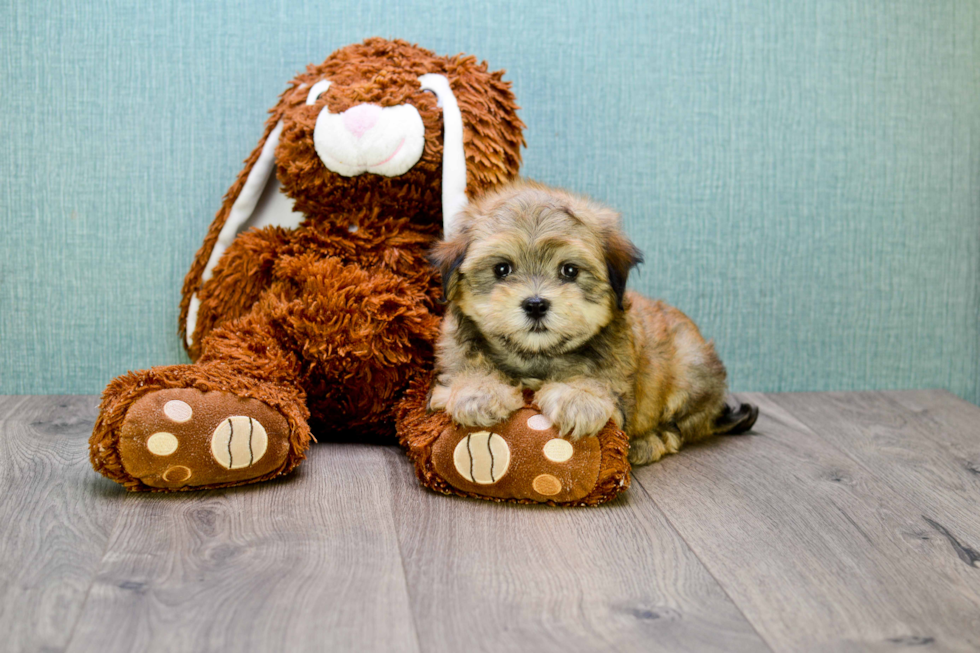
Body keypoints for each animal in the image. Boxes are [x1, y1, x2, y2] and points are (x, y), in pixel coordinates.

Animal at [428, 178, 756, 464]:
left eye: (569, 271)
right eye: (501, 269)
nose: (535, 304)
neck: (535, 356)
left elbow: (596, 383)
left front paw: (578, 399)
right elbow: (466, 372)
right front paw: (477, 392)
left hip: (691, 369)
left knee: (681, 426)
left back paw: (649, 441)